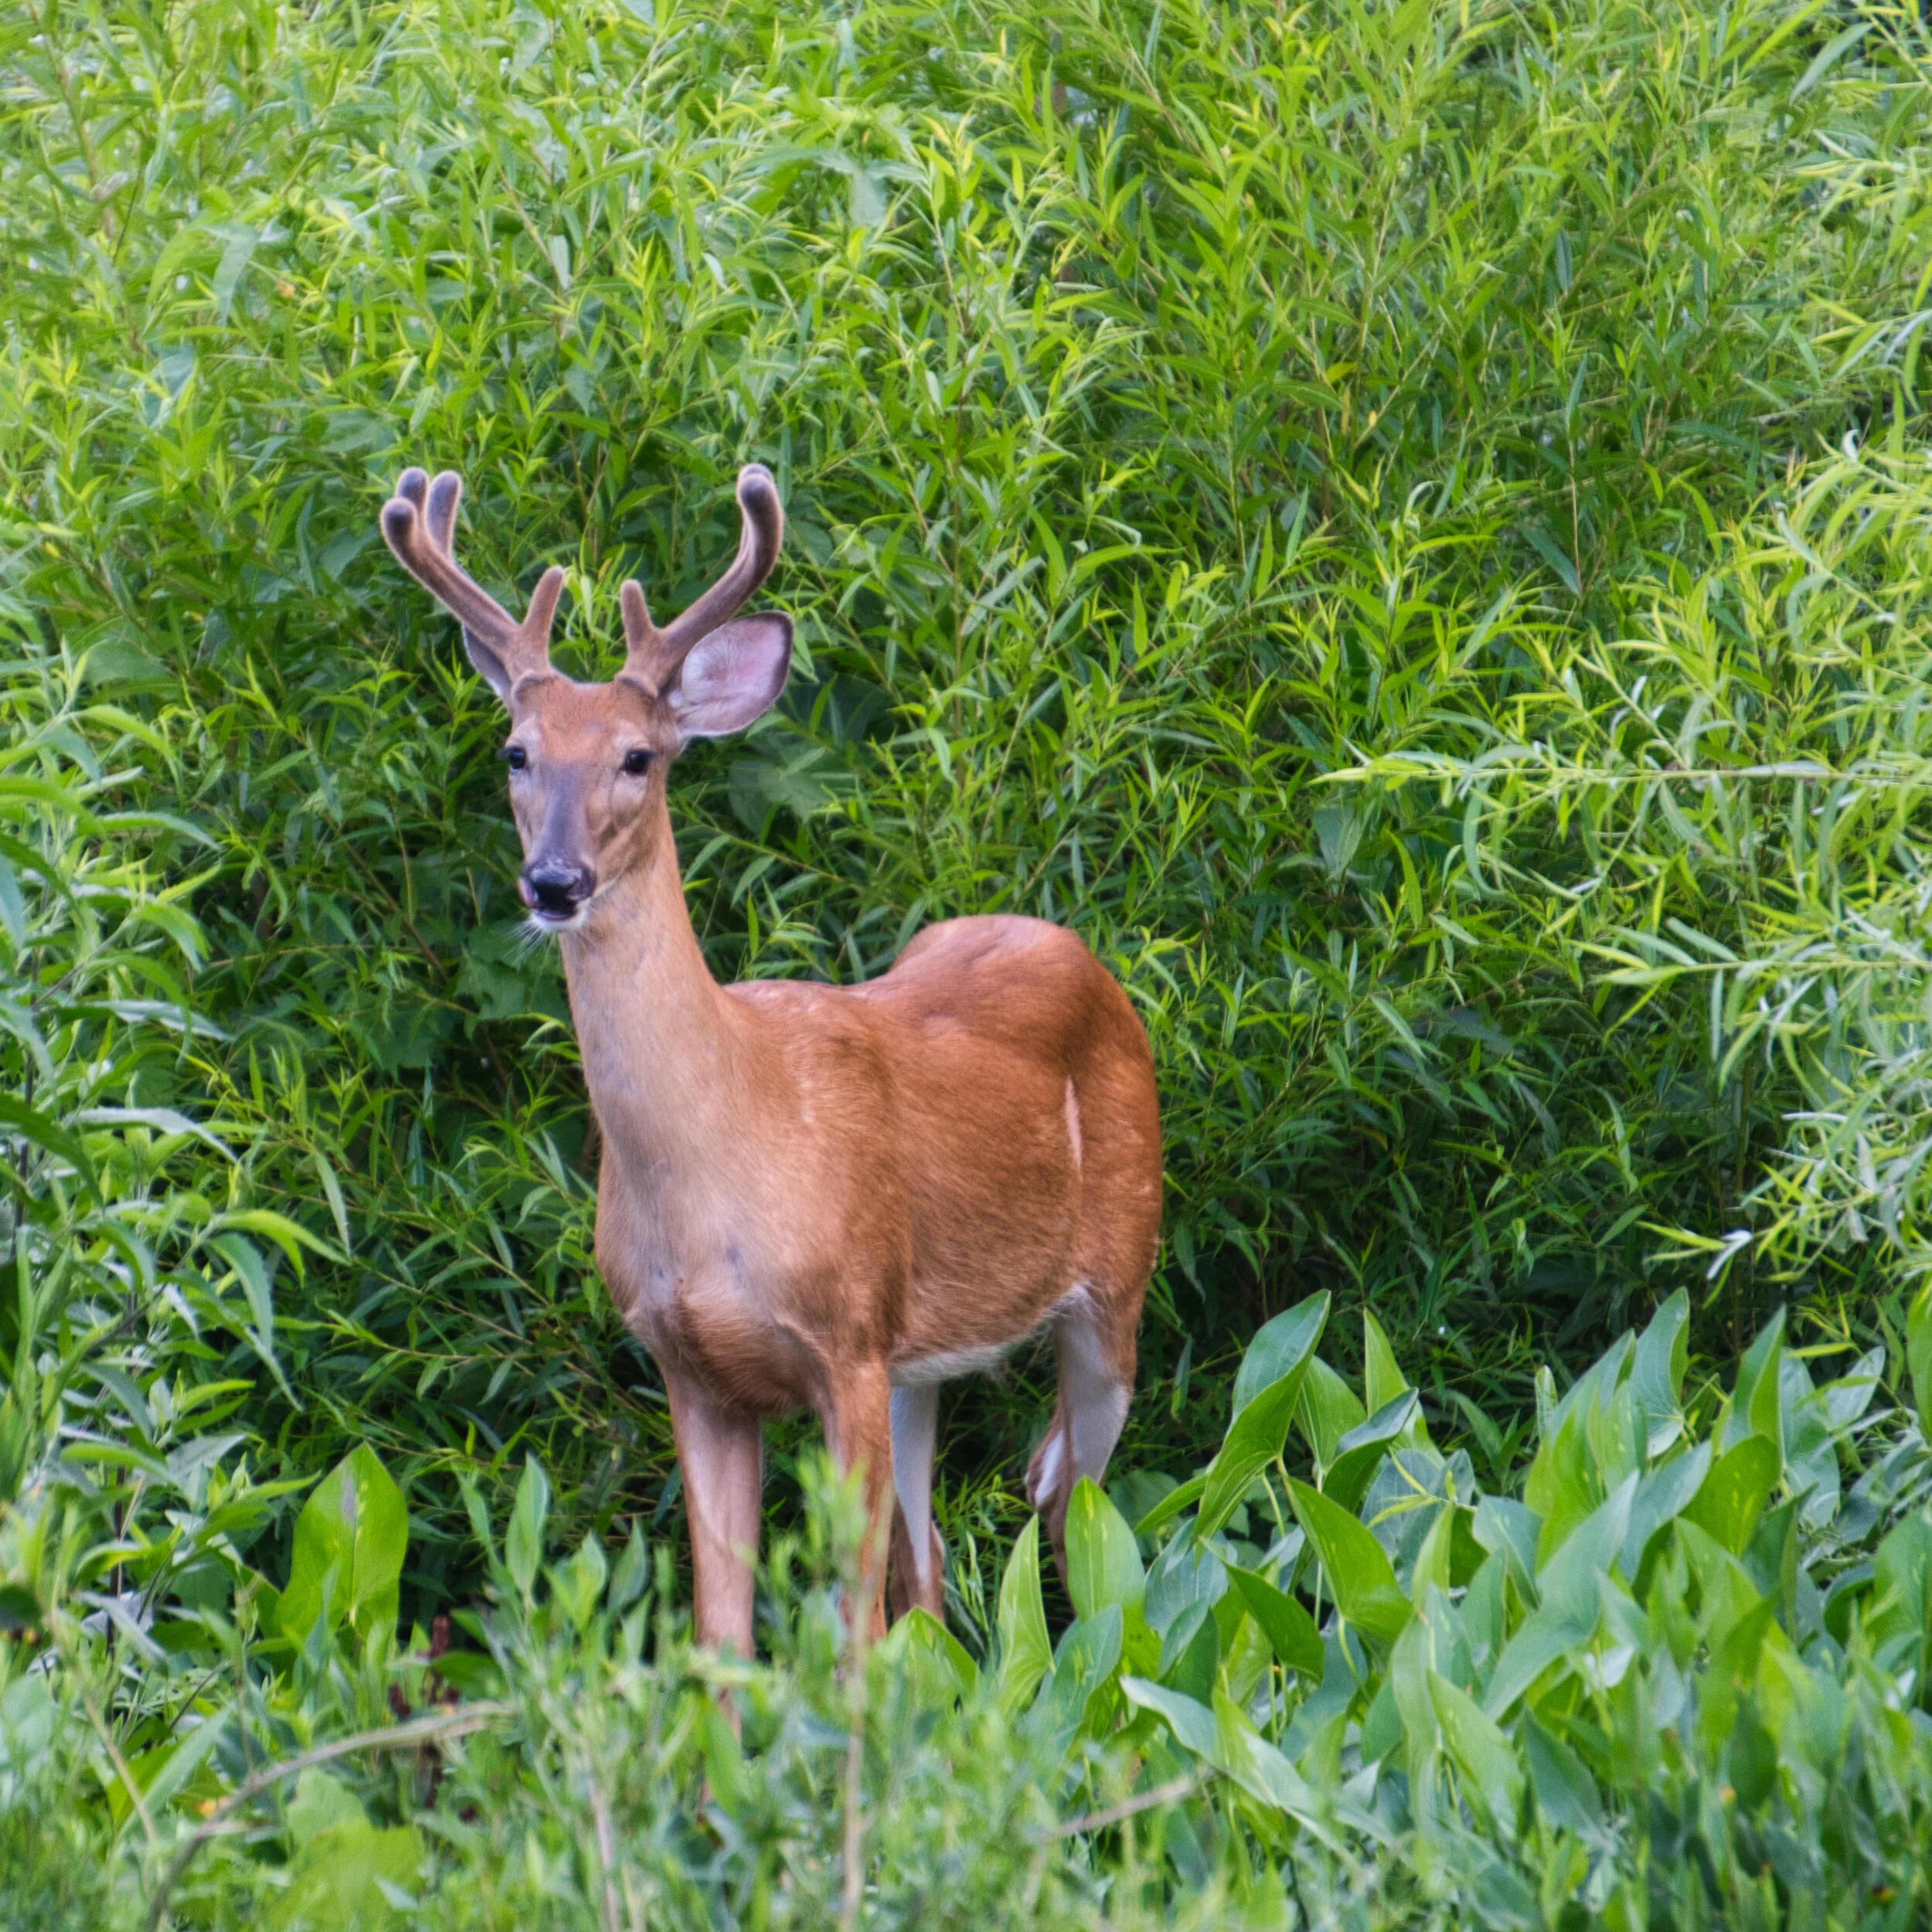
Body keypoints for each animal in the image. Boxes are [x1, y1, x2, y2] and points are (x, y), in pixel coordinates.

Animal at [379, 461, 1162, 1652]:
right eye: (517, 753)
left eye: (638, 756)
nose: (554, 882)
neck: (716, 1161)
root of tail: (1081, 956)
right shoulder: (696, 1368)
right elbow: (724, 1633)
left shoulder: (843, 1336)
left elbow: (850, 1632)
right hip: (920, 1357)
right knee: (939, 1554)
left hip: (1117, 1278)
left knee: (1072, 1501)